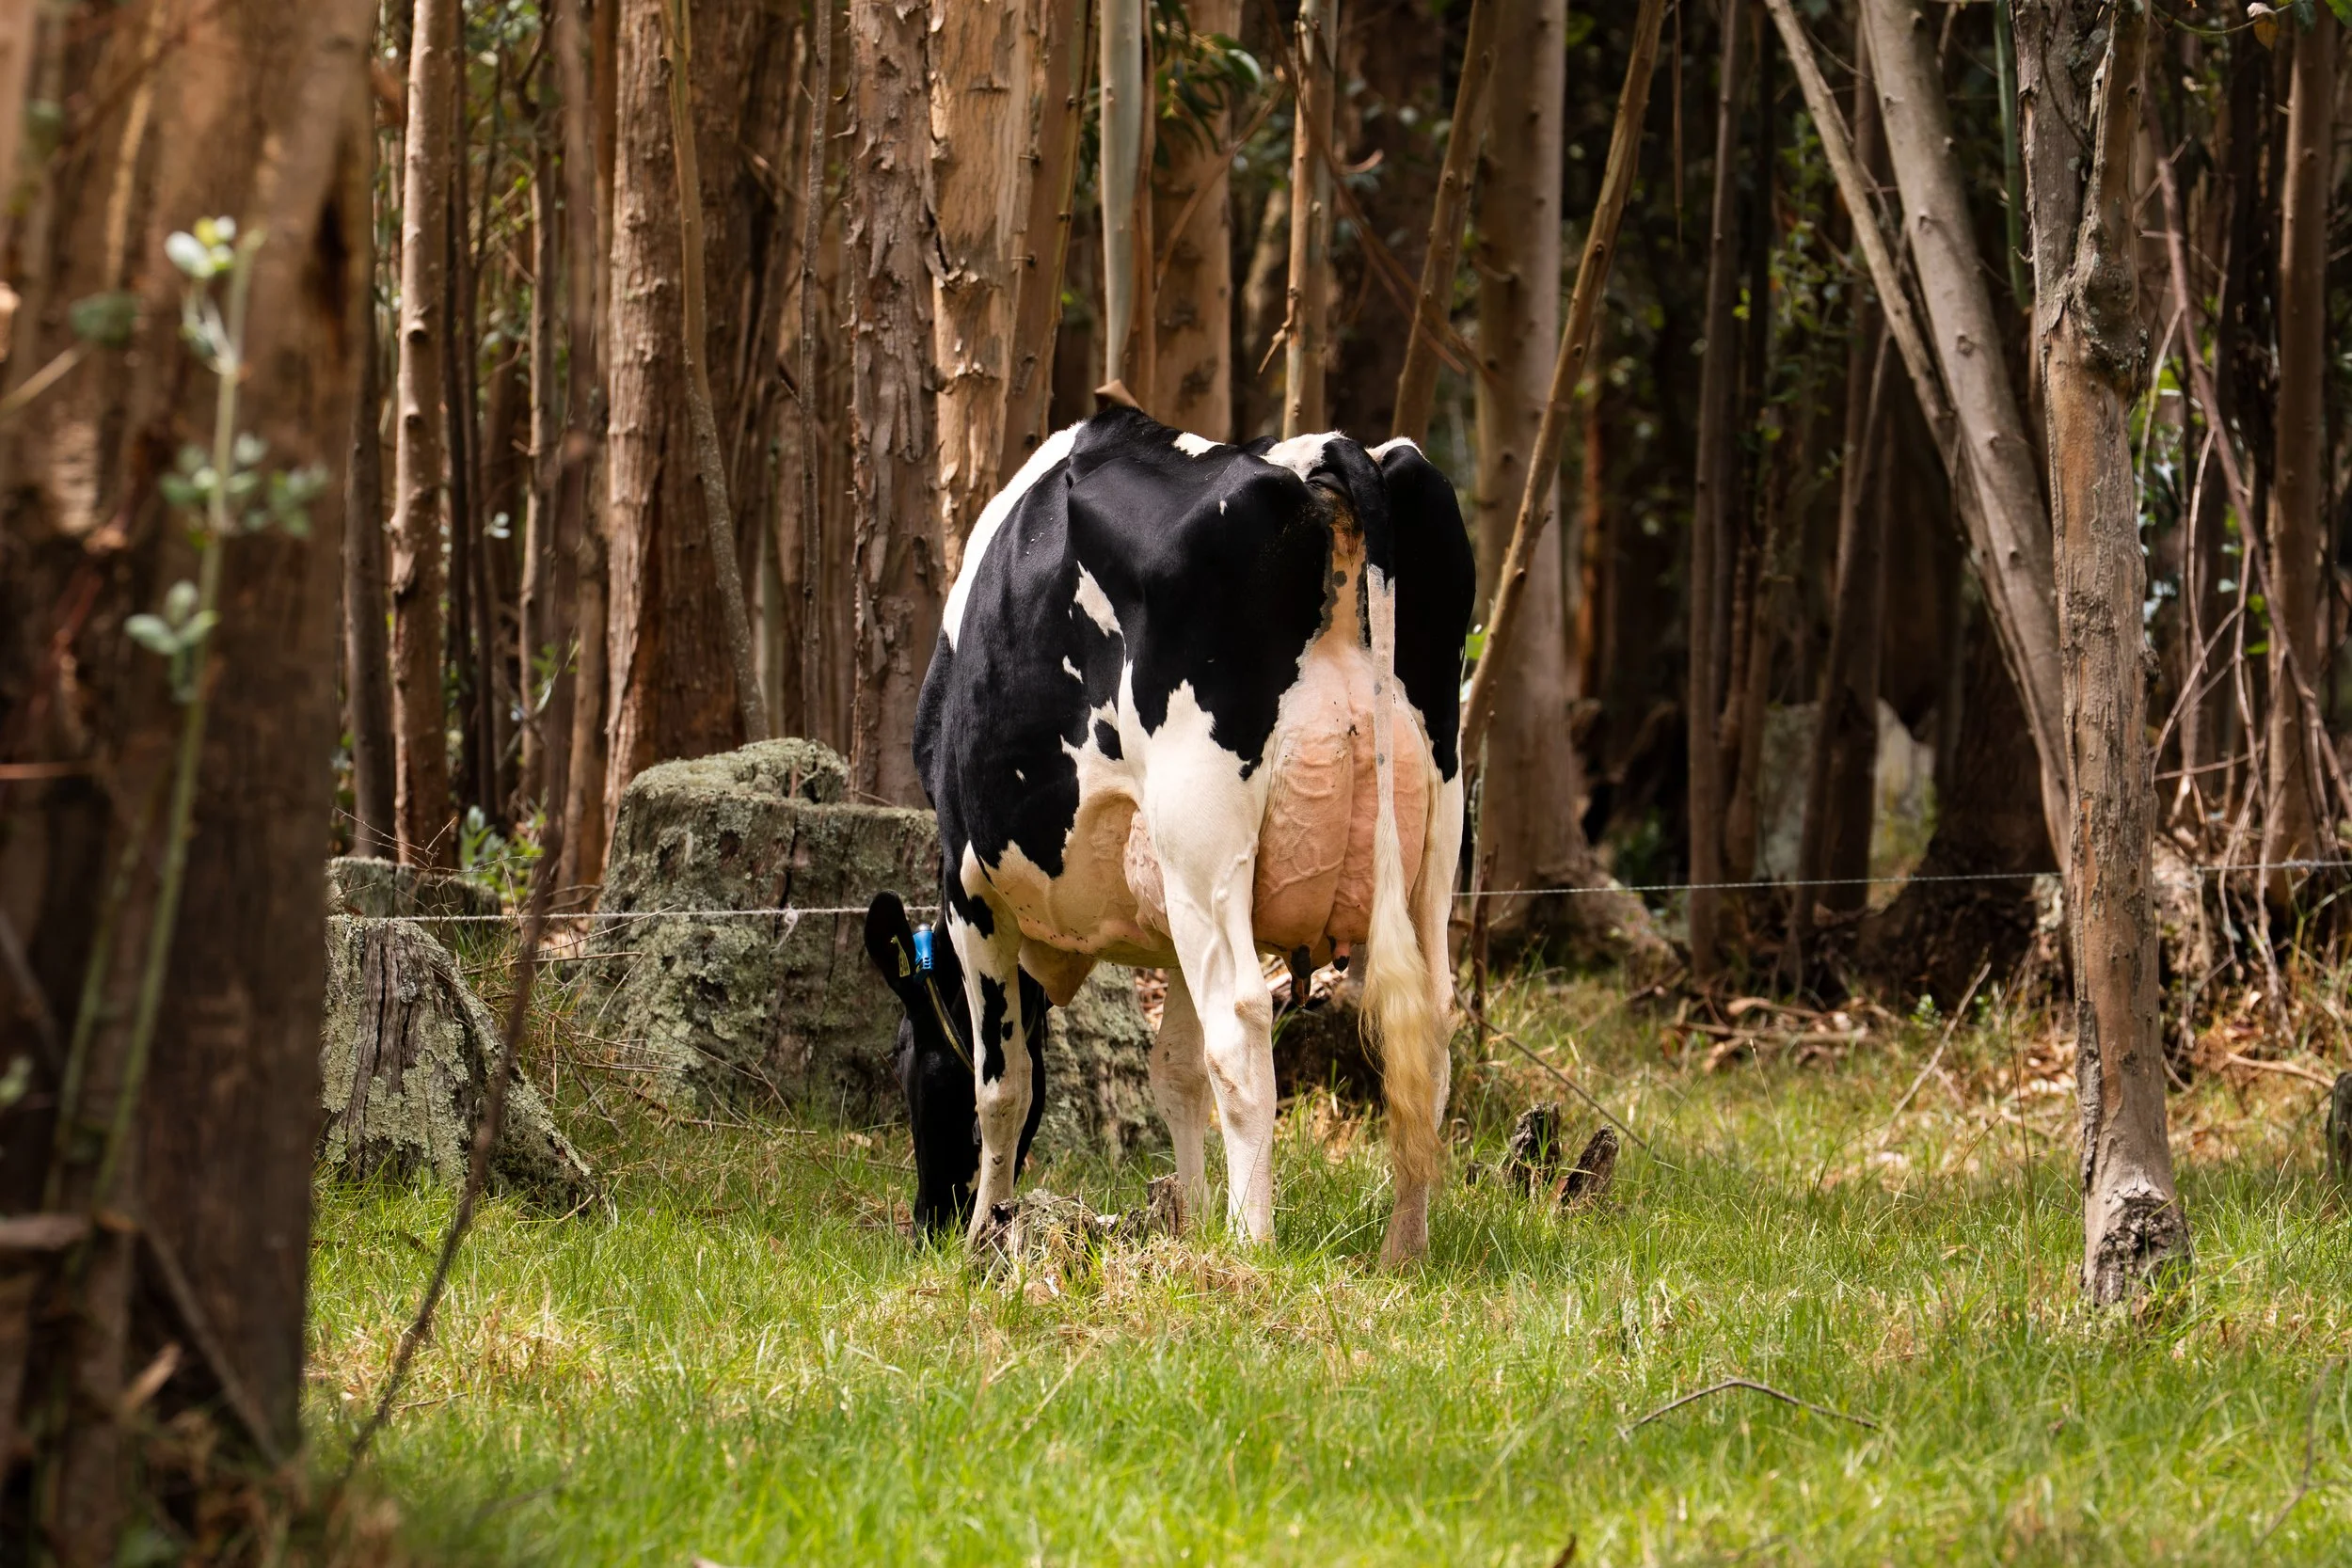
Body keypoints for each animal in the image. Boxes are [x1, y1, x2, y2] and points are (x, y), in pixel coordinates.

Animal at [866, 406, 1475, 1264]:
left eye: (902, 1058)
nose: (927, 1221)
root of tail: (1320, 452)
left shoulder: (971, 888)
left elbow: (1002, 1081)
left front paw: (989, 1232)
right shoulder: (1164, 913)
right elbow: (1175, 1071)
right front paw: (1188, 1215)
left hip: (1204, 837)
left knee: (1242, 1030)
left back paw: (1255, 1244)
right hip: (1431, 826)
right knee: (1430, 1025)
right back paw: (1404, 1248)